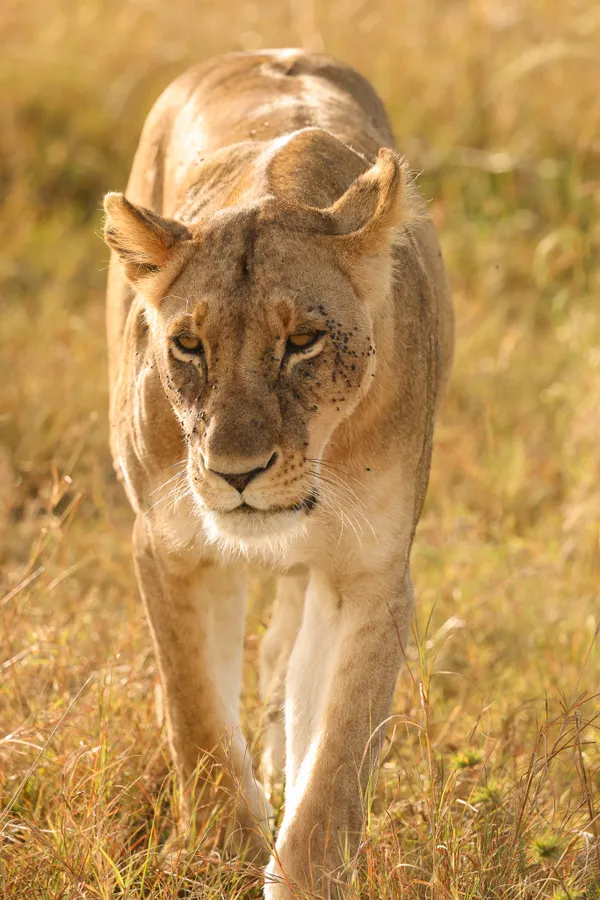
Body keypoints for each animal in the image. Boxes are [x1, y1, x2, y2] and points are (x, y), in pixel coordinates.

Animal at [103, 49, 454, 899]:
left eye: (302, 341)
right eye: (188, 345)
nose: (236, 473)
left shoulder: (371, 570)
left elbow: (339, 751)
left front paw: (306, 874)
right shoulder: (171, 547)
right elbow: (196, 715)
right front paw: (220, 853)